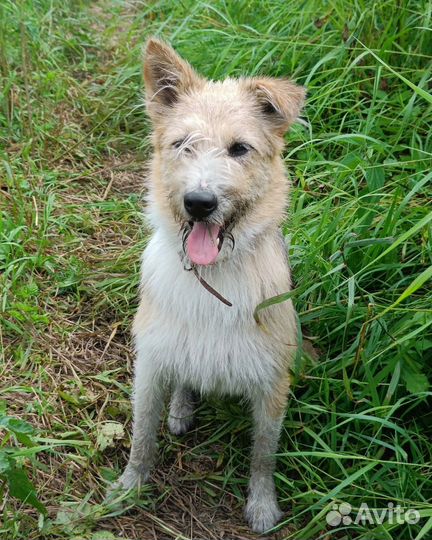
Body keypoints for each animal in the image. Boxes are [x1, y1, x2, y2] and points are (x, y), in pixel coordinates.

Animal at [113, 39, 306, 536]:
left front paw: (262, 505)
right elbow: (142, 436)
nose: (199, 203)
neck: (213, 276)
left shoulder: (272, 384)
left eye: (239, 149)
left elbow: (263, 456)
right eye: (182, 144)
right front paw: (128, 487)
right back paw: (181, 409)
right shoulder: (151, 365)